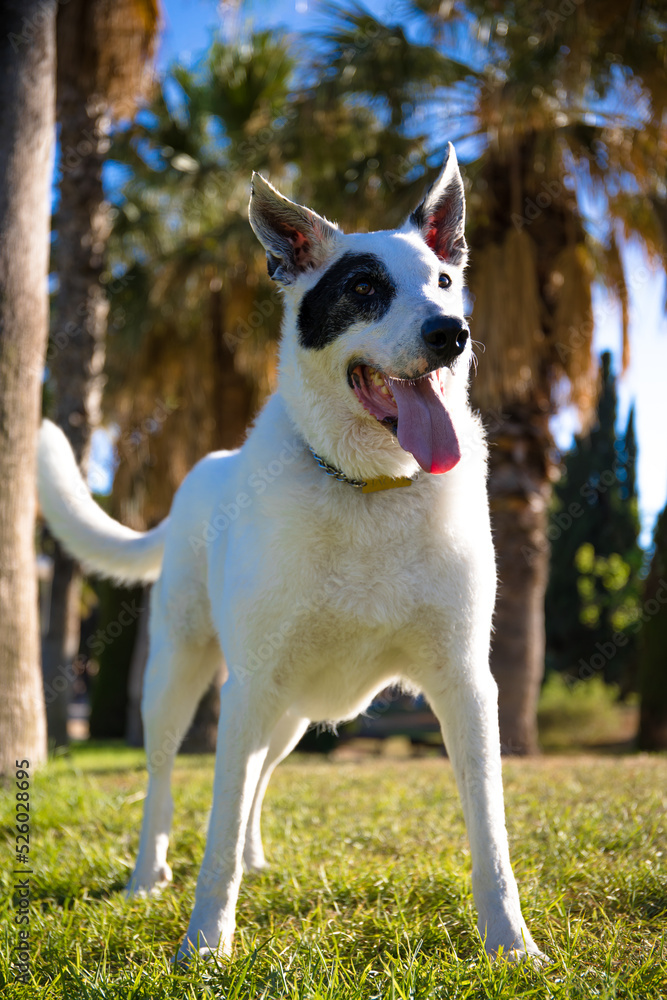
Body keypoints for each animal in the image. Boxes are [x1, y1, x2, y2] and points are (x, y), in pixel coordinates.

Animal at [37, 145, 544, 964]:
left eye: (443, 281)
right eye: (364, 287)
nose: (452, 332)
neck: (371, 485)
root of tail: (205, 469)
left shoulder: (467, 686)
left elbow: (491, 838)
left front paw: (511, 946)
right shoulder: (247, 687)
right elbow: (213, 826)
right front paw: (203, 946)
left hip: (291, 715)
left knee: (258, 780)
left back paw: (253, 857)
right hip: (181, 679)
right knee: (165, 781)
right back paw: (148, 875)